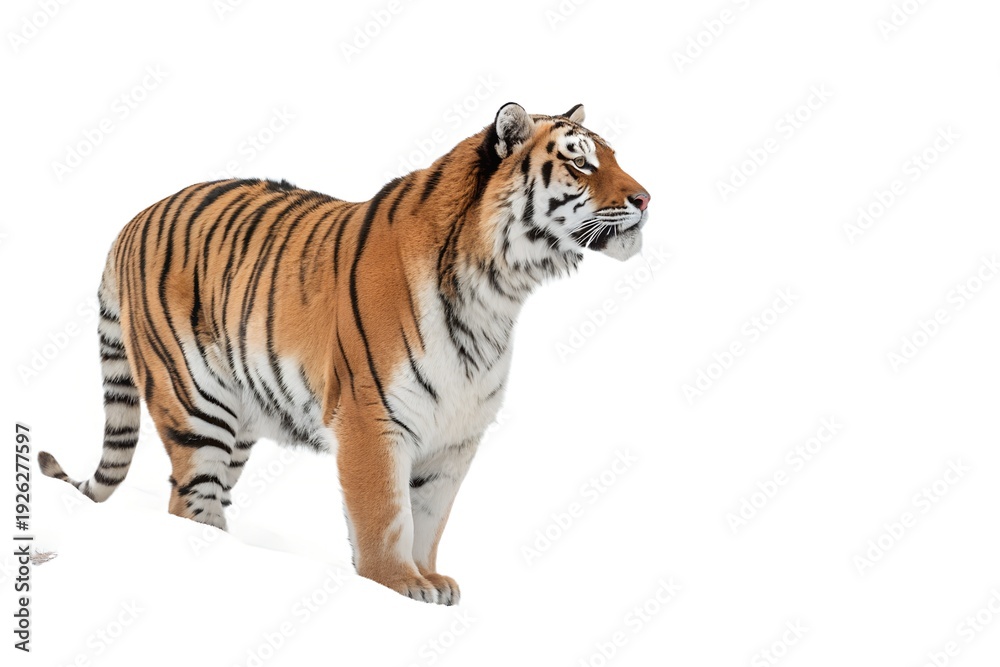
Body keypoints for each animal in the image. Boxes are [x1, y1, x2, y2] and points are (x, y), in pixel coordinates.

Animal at [38, 102, 650, 605]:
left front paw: (431, 579)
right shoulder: (370, 416)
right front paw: (396, 583)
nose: (646, 198)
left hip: (239, 420)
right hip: (195, 405)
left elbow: (429, 516)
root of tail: (130, 222)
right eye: (580, 164)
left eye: (612, 158)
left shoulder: (455, 435)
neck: (495, 292)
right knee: (187, 500)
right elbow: (384, 512)